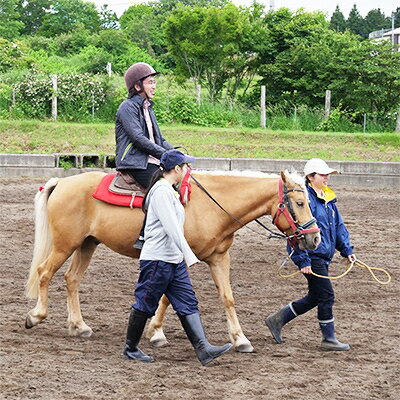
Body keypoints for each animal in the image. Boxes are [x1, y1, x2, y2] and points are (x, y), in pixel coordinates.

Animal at [25, 170, 320, 352]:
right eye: (300, 203)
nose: (315, 238)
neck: (214, 206)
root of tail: (61, 183)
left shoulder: (219, 258)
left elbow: (227, 298)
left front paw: (240, 339)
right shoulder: (180, 257)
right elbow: (168, 297)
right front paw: (156, 332)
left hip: (86, 244)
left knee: (71, 279)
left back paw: (79, 326)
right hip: (65, 245)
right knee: (44, 273)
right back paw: (36, 316)